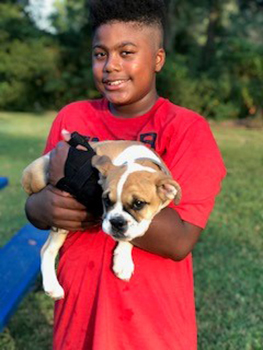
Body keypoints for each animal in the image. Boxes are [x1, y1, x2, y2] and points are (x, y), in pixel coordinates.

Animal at [22, 133, 182, 300]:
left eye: (139, 203)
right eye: (106, 200)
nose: (116, 222)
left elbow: (131, 234)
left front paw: (122, 260)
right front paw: (123, 260)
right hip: (38, 178)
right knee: (47, 248)